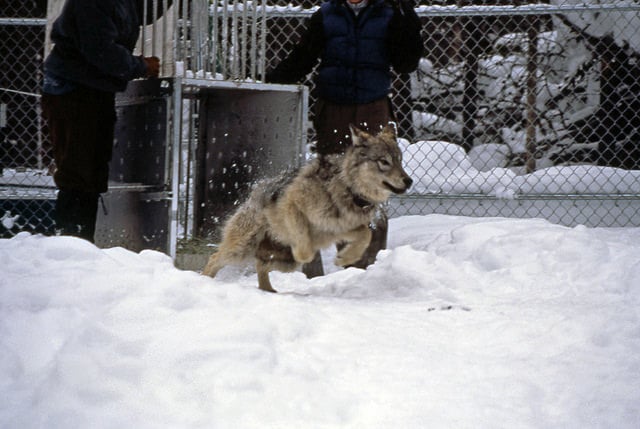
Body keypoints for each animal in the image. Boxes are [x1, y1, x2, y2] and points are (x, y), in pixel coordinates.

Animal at [201, 122, 416, 292]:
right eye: (384, 162)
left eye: (399, 160)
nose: (409, 181)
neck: (347, 189)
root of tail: (254, 193)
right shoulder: (292, 206)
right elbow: (306, 249)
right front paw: (315, 250)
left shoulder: (339, 229)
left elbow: (366, 234)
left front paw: (344, 258)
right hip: (243, 248)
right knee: (214, 258)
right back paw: (203, 282)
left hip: (284, 262)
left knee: (260, 266)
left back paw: (269, 291)